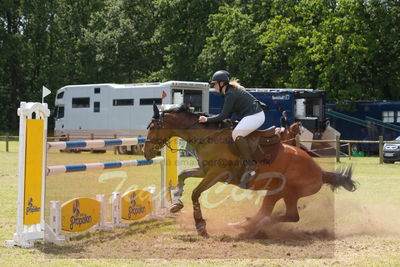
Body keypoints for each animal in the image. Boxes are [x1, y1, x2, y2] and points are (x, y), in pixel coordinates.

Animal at [144, 104, 356, 239]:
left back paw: (252, 226)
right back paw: (243, 224)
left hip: (287, 192)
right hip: (275, 193)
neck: (209, 137)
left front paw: (201, 226)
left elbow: (196, 193)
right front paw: (176, 202)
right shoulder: (205, 170)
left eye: (153, 127)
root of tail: (320, 172)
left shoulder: (216, 174)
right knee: (271, 212)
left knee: (287, 216)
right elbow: (182, 176)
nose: (146, 152)